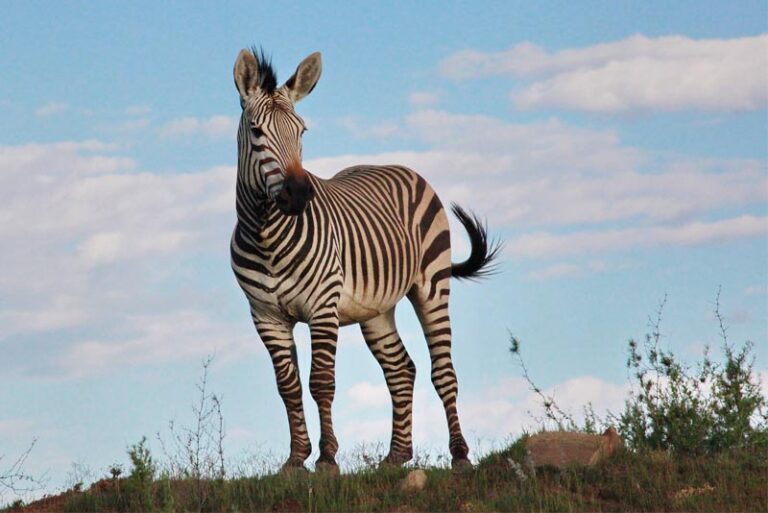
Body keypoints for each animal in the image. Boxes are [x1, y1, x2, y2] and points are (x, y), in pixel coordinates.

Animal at [231, 47, 501, 473]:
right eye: (257, 132)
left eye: (302, 132)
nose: (299, 194)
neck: (266, 234)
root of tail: (396, 166)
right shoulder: (265, 316)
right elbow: (288, 386)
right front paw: (295, 460)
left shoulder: (322, 307)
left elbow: (321, 382)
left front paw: (326, 459)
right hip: (376, 310)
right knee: (401, 370)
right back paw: (396, 456)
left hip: (432, 285)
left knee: (443, 372)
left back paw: (459, 455)